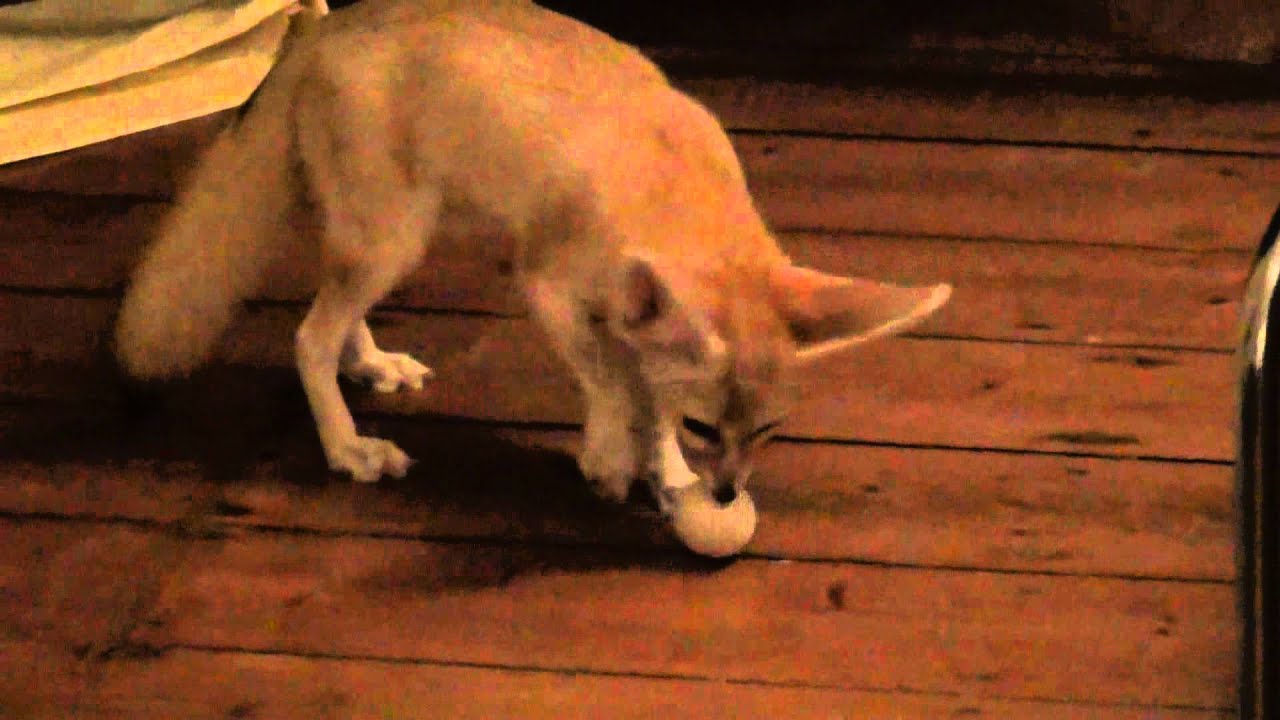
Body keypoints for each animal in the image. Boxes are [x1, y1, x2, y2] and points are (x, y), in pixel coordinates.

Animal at [114, 0, 951, 512]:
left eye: (772, 430)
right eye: (710, 429)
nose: (724, 496)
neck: (677, 186)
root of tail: (328, 23)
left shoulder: (630, 315)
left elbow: (643, 386)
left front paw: (663, 467)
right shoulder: (546, 283)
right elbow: (612, 380)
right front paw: (615, 456)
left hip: (388, 234)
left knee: (334, 310)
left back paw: (370, 363)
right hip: (396, 237)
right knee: (307, 337)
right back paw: (348, 446)